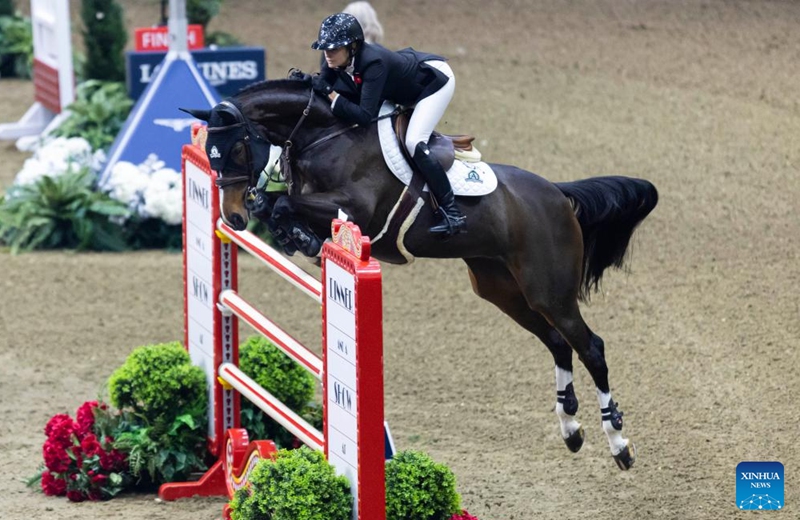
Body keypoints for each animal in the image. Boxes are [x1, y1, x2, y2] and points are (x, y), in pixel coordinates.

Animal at [183, 76, 658, 470]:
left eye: (238, 147)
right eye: (210, 154)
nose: (233, 217)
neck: (324, 135)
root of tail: (559, 196)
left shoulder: (356, 208)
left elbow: (285, 204)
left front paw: (298, 234)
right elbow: (277, 205)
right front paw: (295, 236)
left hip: (549, 292)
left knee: (591, 347)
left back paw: (619, 443)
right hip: (502, 290)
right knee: (558, 344)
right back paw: (571, 430)